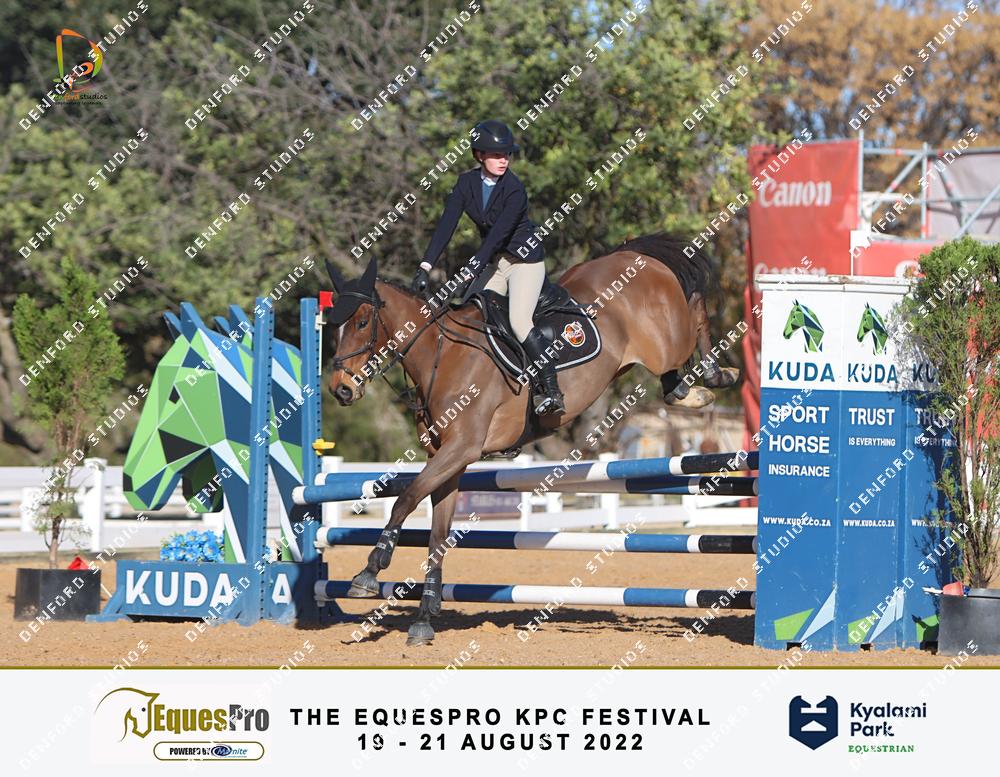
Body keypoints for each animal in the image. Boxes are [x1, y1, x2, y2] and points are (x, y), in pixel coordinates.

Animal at [325, 233, 739, 645]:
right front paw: (425, 619)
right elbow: (438, 535)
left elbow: (405, 499)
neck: (442, 355)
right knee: (674, 375)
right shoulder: (447, 460)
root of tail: (634, 256)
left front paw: (369, 572)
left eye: (362, 321)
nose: (341, 390)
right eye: (333, 325)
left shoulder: (461, 449)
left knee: (696, 307)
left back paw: (719, 373)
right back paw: (690, 391)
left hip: (668, 342)